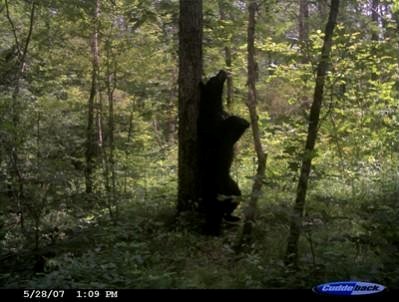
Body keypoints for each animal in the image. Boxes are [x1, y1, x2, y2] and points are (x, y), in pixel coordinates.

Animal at [198, 69, 250, 235]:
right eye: (213, 79)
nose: (222, 70)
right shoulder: (216, 128)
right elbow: (237, 122)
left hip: (233, 189)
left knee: (231, 203)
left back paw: (232, 218)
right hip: (222, 188)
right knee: (217, 210)